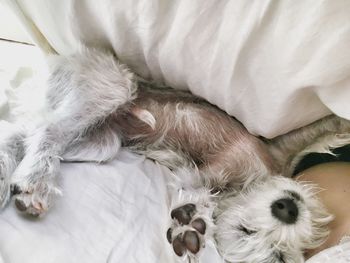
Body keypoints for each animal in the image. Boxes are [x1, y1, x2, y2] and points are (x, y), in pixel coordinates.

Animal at [0, 49, 350, 262]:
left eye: (279, 258)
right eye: (246, 232)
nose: (288, 209)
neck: (245, 182)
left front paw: (193, 220)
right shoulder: (265, 148)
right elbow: (312, 130)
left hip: (101, 143)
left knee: (29, 134)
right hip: (111, 85)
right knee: (47, 130)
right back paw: (35, 181)